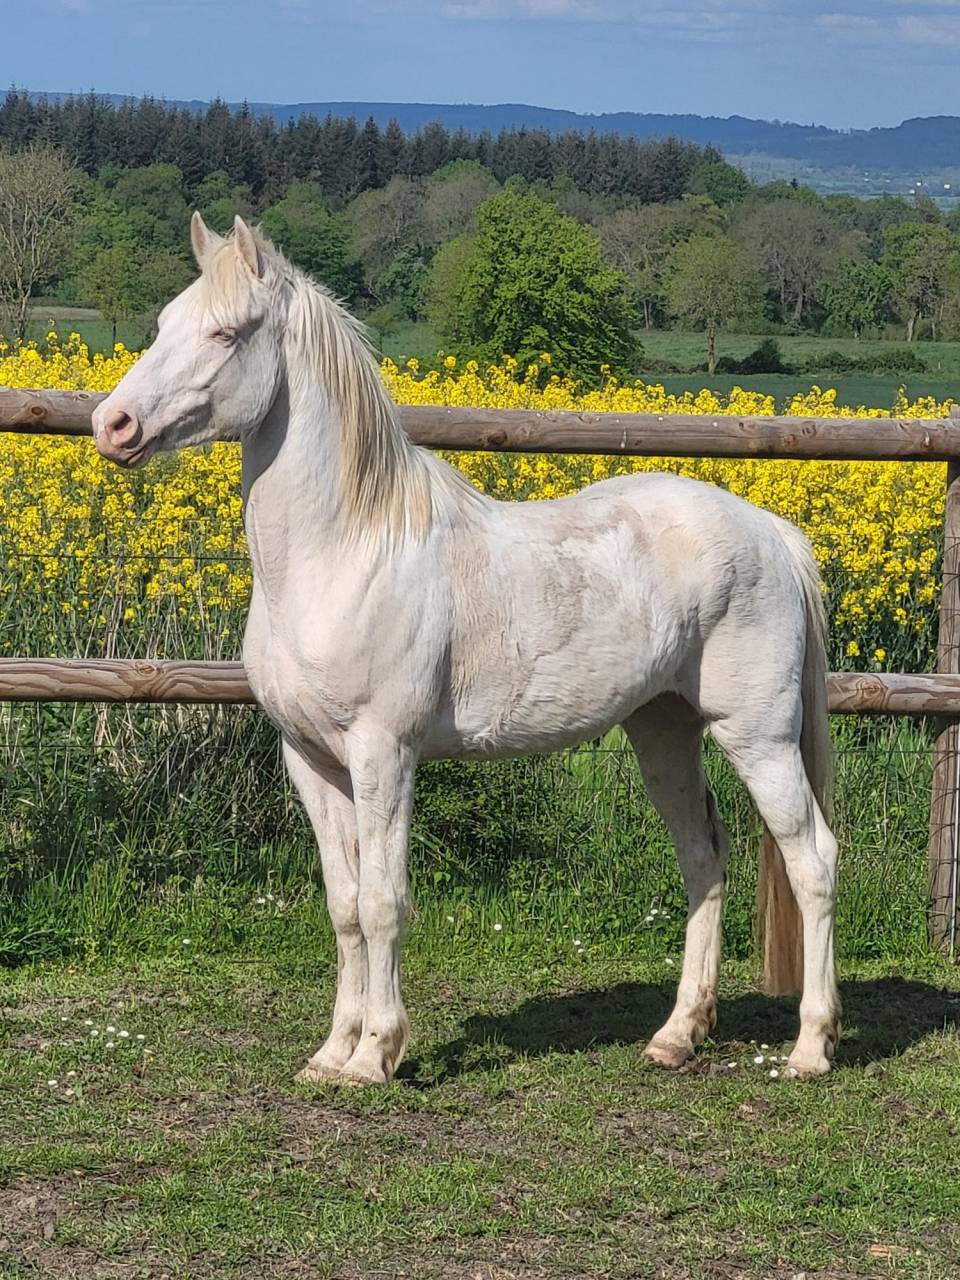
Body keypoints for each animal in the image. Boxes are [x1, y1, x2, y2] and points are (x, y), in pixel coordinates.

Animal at [92, 213, 840, 1086]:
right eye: (164, 323)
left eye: (225, 331)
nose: (114, 426)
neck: (346, 551)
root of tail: (775, 534)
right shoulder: (309, 759)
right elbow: (344, 906)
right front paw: (330, 1054)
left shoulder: (384, 751)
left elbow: (384, 901)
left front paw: (377, 1055)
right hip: (664, 732)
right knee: (703, 857)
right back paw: (676, 1036)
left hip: (758, 736)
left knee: (814, 861)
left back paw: (812, 1047)